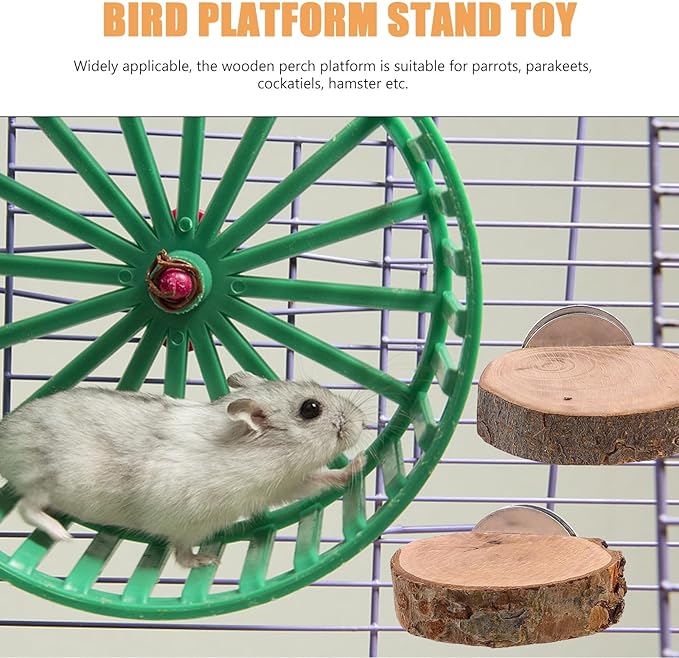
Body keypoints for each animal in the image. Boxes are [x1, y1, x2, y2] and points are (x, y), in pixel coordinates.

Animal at [0, 371, 366, 568]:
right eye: (310, 409)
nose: (364, 422)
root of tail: (5, 434)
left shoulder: (284, 486)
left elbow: (320, 480)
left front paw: (359, 464)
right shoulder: (188, 521)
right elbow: (181, 551)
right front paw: (207, 562)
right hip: (45, 479)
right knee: (26, 507)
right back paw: (63, 534)